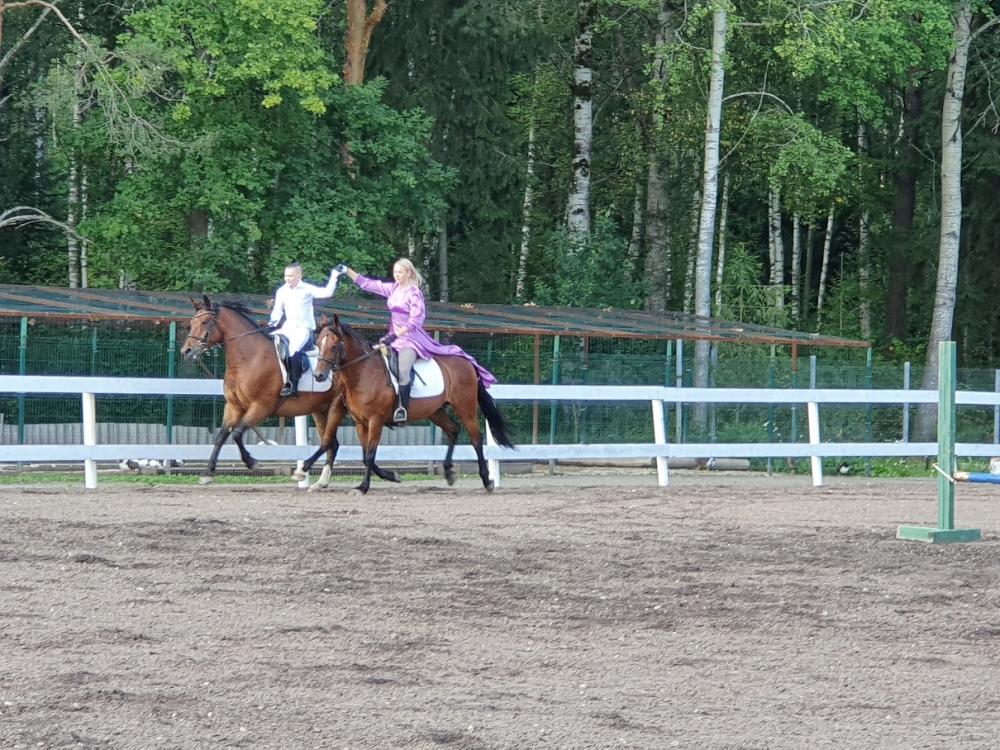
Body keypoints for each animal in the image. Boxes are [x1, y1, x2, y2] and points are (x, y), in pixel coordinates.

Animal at [179, 295, 400, 489]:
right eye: (192, 322)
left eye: (205, 321)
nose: (186, 351)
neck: (249, 358)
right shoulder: (234, 407)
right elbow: (221, 437)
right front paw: (207, 474)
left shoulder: (261, 407)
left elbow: (237, 434)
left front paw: (252, 462)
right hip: (321, 410)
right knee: (334, 444)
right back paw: (324, 481)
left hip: (337, 409)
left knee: (337, 444)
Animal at [301, 314, 515, 494]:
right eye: (319, 344)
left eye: (334, 346)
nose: (318, 375)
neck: (363, 372)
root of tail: (467, 362)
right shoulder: (360, 422)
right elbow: (364, 455)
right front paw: (391, 476)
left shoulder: (376, 421)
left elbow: (370, 454)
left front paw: (363, 487)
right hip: (435, 411)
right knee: (453, 430)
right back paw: (448, 472)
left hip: (466, 407)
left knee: (476, 439)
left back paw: (487, 481)